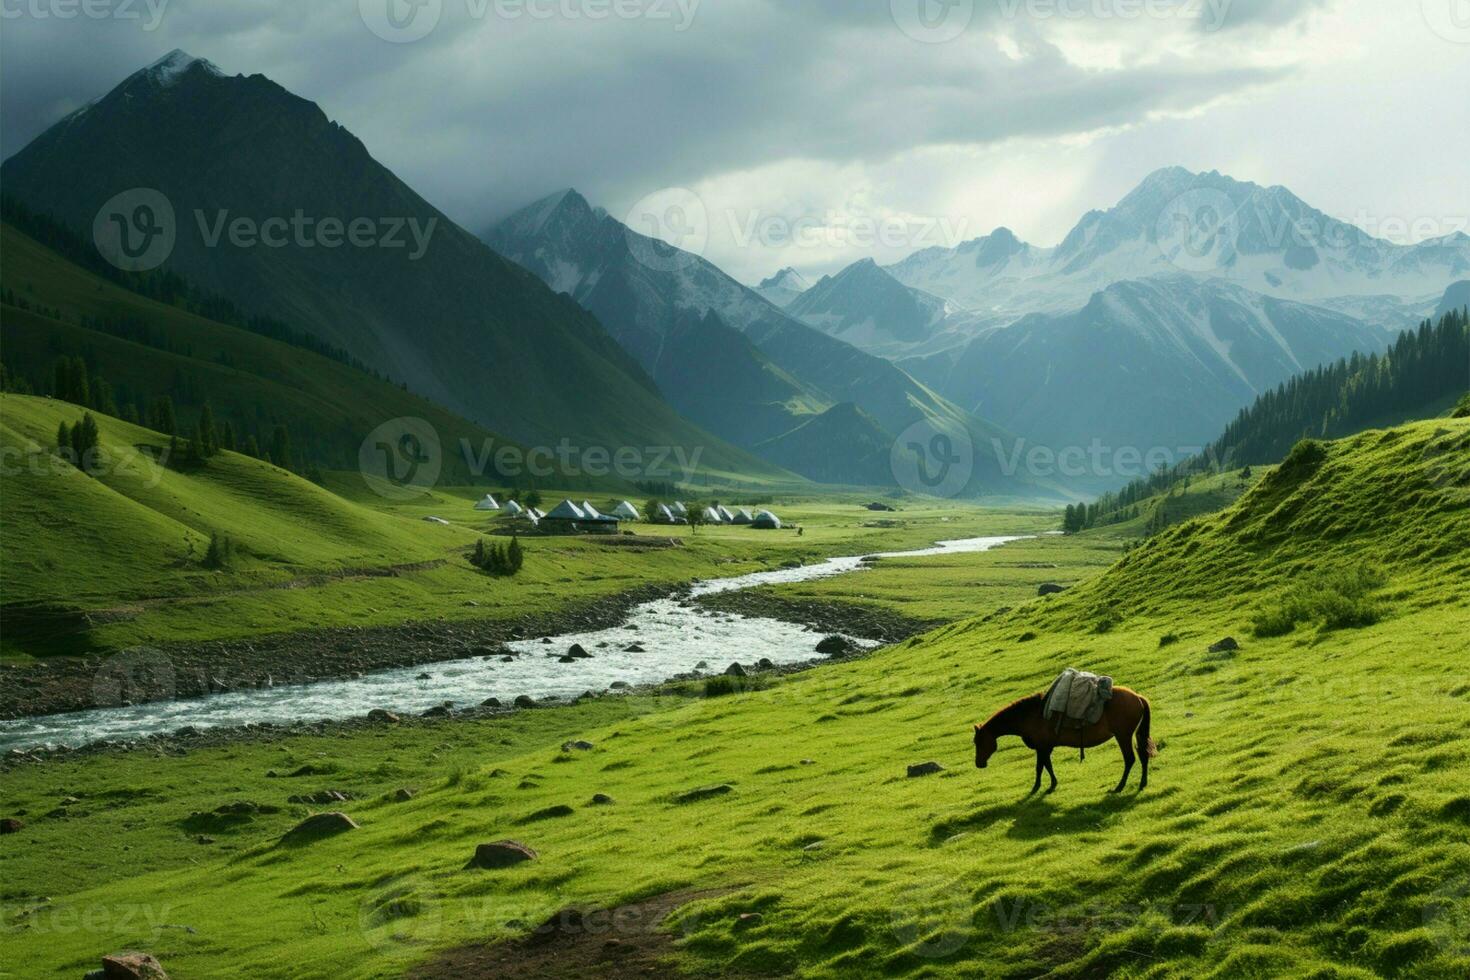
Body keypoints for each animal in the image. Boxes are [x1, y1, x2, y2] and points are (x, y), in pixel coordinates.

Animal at [976, 687, 1158, 793]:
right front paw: (1051, 784)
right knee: (1143, 756)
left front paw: (1037, 787)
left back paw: (1119, 787)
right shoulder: (1046, 747)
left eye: (979, 742)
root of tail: (1138, 697)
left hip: (1123, 736)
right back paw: (1142, 783)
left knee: (1130, 759)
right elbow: (1046, 766)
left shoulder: (1042, 747)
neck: (1029, 715)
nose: (979, 764)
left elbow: (1040, 767)